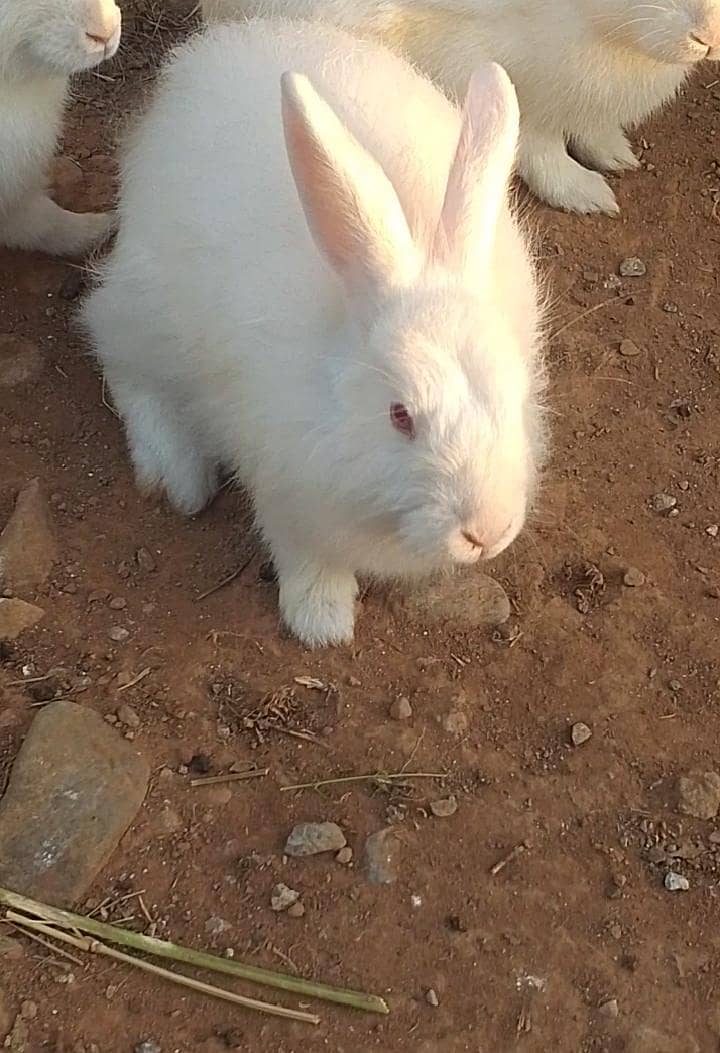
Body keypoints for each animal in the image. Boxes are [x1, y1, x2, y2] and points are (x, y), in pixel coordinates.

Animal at [81, 19, 546, 647]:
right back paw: (178, 473)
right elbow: (304, 555)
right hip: (148, 309)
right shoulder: (285, 490)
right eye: (400, 416)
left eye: (517, 398)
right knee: (116, 348)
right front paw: (322, 620)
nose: (487, 531)